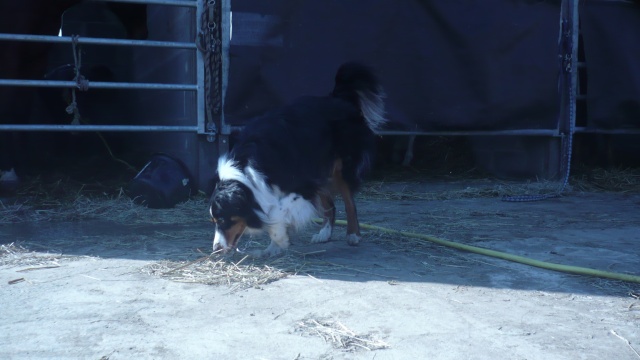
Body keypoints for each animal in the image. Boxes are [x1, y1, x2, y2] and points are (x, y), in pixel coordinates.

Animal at [209, 61, 384, 256]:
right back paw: (324, 234)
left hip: (340, 167)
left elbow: (278, 212)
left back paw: (353, 235)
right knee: (329, 204)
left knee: (349, 203)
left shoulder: (300, 184)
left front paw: (278, 238)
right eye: (214, 221)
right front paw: (274, 246)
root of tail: (338, 97)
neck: (246, 170)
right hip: (318, 167)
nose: (216, 249)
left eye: (222, 220)